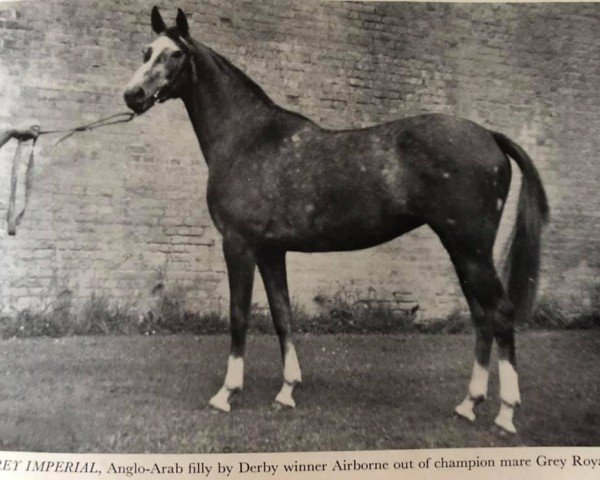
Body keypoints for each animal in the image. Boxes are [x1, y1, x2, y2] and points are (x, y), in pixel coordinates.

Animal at [123, 6, 548, 436]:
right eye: (146, 51)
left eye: (175, 54)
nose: (132, 95)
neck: (247, 138)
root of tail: (491, 136)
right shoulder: (271, 251)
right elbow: (282, 314)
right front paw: (287, 390)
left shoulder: (238, 244)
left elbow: (238, 316)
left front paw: (227, 393)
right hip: (461, 251)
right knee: (481, 317)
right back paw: (468, 404)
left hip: (471, 249)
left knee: (500, 313)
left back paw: (506, 413)